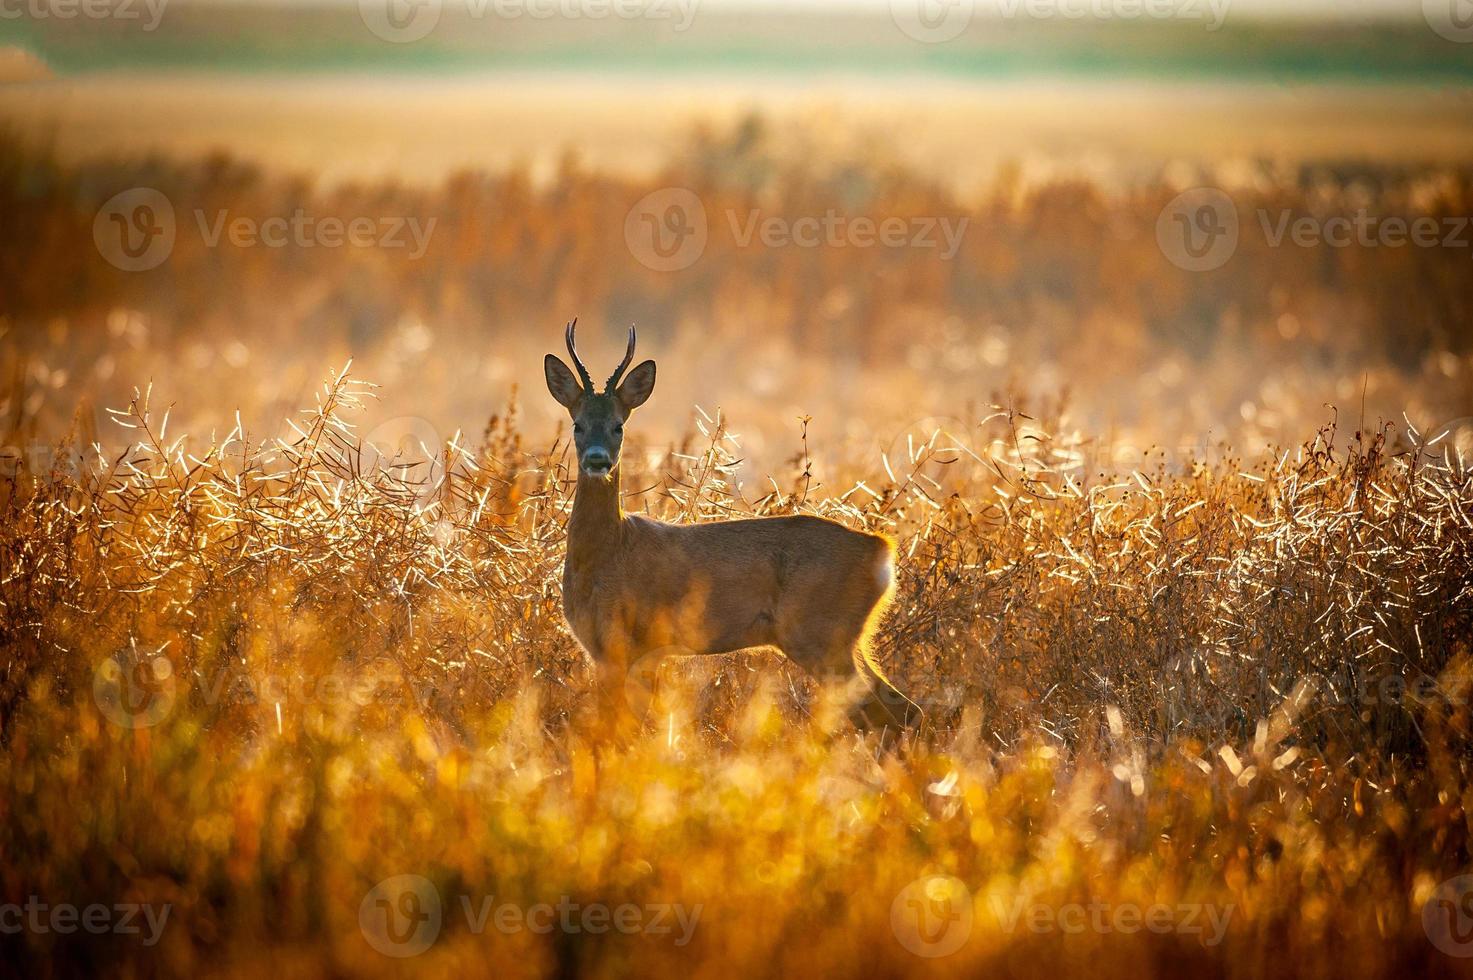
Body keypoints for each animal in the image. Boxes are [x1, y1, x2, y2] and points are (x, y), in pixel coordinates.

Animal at [545, 319, 919, 733]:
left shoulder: (625, 643)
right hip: (848, 636)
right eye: (577, 425)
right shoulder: (633, 653)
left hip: (817, 632)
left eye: (618, 426)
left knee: (881, 710)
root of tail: (881, 549)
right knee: (898, 706)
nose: (598, 460)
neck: (606, 552)